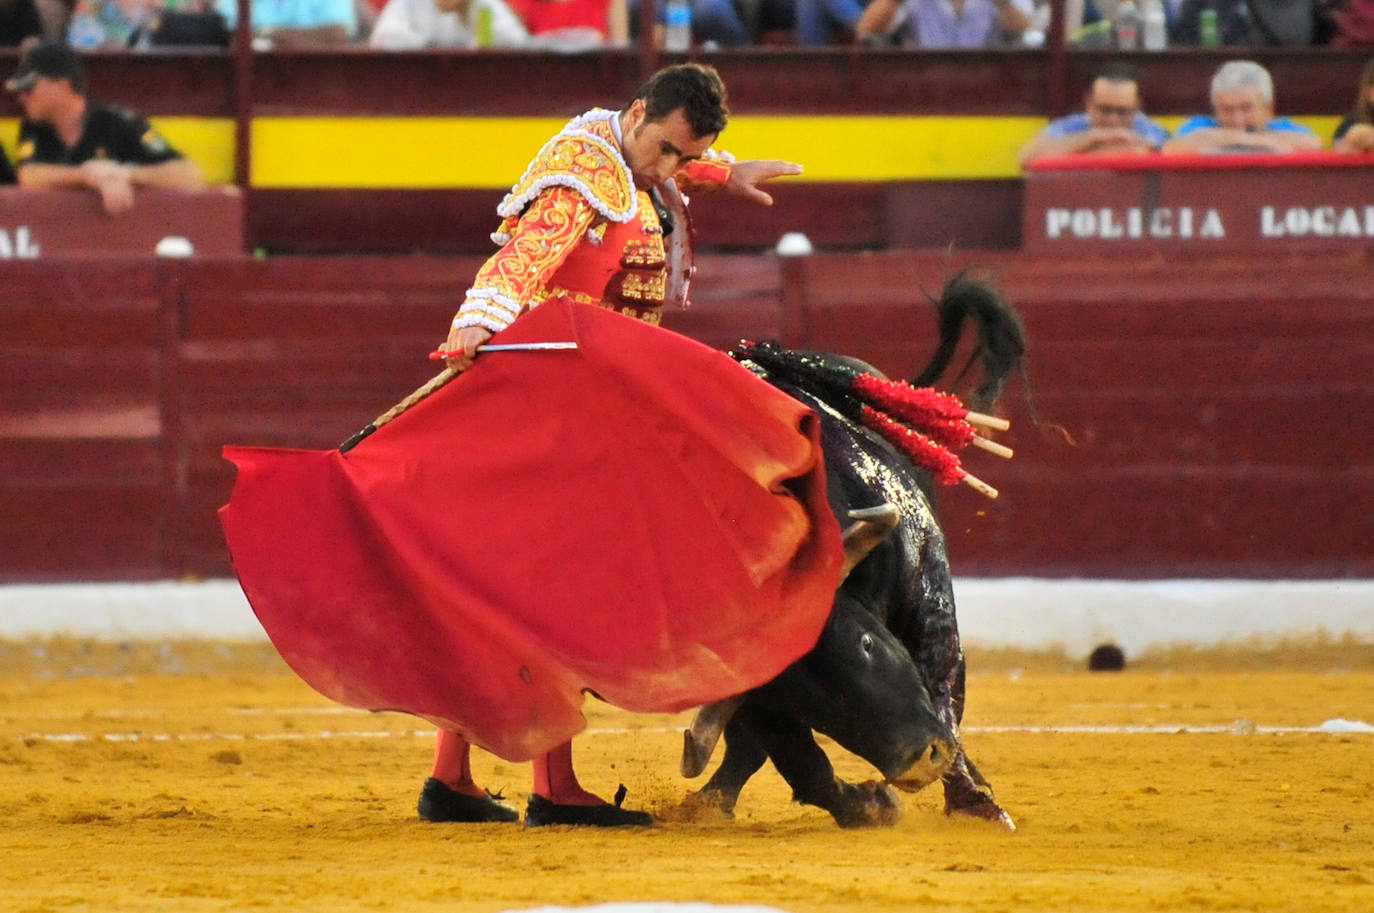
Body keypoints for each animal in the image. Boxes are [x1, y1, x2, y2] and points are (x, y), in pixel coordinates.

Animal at [681, 270, 1027, 825]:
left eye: (866, 644)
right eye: (803, 698)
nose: (919, 761)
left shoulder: (931, 603)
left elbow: (944, 689)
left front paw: (976, 802)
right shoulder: (754, 692)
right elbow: (799, 758)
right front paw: (868, 805)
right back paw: (713, 801)